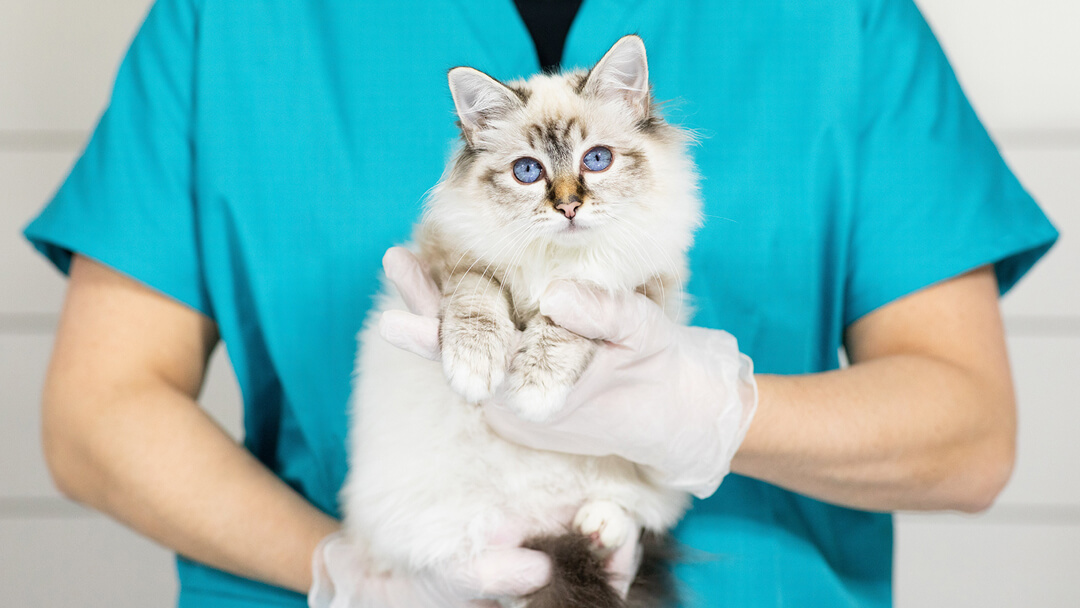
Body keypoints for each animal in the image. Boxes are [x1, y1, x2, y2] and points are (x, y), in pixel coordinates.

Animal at [341, 35, 704, 604]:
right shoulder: (460, 265)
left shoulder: (623, 292)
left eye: (596, 160)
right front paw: (475, 369)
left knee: (631, 509)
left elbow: (564, 324)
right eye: (528, 172)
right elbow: (478, 306)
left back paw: (598, 525)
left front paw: (534, 392)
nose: (569, 207)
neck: (556, 260)